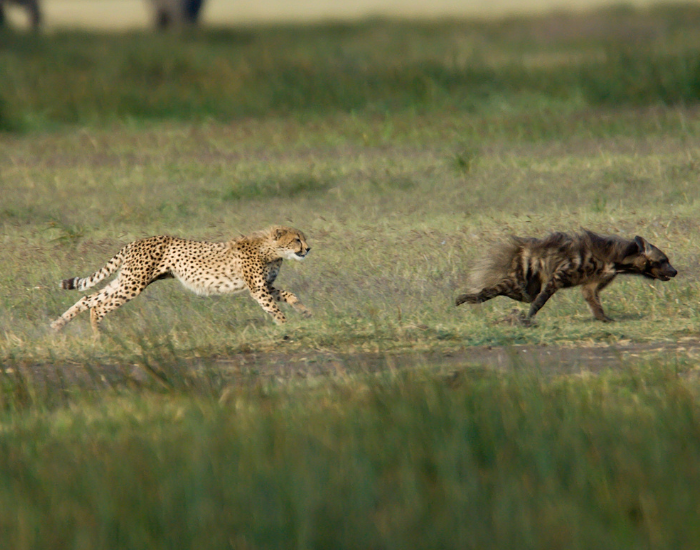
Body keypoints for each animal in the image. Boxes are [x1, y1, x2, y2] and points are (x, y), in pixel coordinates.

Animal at [50, 226, 312, 335]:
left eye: (303, 238)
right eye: (297, 239)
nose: (309, 249)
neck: (271, 250)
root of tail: (136, 241)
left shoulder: (265, 285)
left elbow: (288, 294)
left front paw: (305, 312)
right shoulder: (258, 288)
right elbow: (274, 308)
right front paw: (286, 326)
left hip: (126, 280)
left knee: (88, 297)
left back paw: (59, 325)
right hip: (133, 283)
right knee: (99, 305)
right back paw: (98, 335)